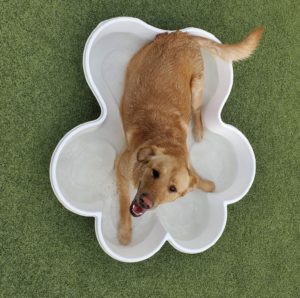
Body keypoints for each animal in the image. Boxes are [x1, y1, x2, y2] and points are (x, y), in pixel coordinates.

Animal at [115, 26, 262, 244]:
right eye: (155, 172)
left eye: (173, 189)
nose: (146, 201)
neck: (164, 141)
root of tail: (182, 35)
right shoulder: (121, 167)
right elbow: (125, 202)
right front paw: (125, 232)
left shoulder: (187, 163)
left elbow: (195, 179)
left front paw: (207, 184)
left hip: (196, 88)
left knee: (197, 111)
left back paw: (199, 131)